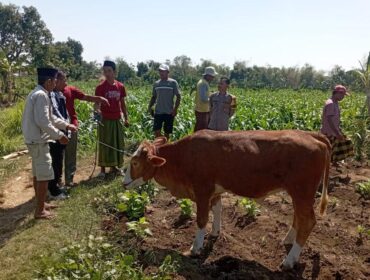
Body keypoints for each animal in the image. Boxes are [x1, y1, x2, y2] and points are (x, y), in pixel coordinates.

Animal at [123, 130, 330, 270]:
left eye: (135, 162)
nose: (124, 182)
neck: (183, 157)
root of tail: (312, 135)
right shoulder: (214, 191)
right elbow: (217, 209)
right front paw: (215, 232)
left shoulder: (202, 189)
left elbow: (201, 219)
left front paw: (195, 248)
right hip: (298, 194)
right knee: (298, 218)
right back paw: (287, 240)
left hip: (302, 192)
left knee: (308, 221)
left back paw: (289, 260)